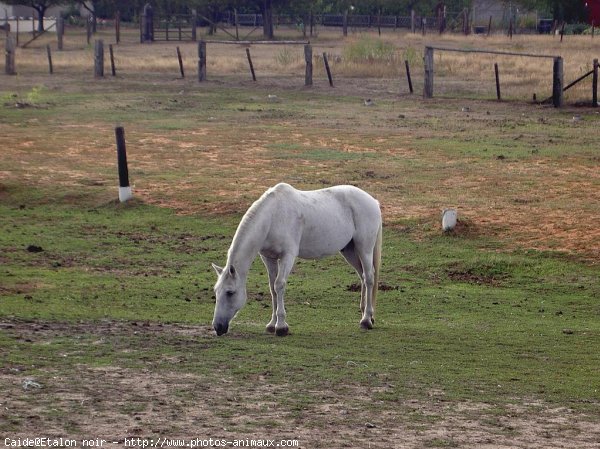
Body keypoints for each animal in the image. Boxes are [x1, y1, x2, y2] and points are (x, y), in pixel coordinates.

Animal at [213, 183, 382, 336]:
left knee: (369, 278)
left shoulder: (288, 256)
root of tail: (373, 201)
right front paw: (271, 324)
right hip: (350, 250)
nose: (217, 327)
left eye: (230, 292)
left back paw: (366, 320)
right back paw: (367, 314)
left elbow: (279, 285)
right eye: (216, 291)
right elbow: (272, 288)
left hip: (364, 248)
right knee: (362, 276)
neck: (272, 217)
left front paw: (281, 327)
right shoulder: (268, 257)